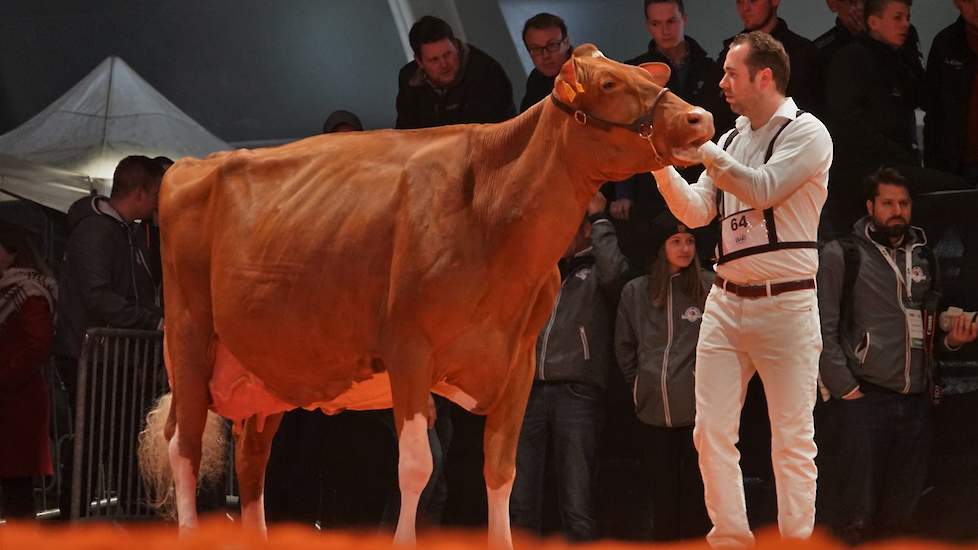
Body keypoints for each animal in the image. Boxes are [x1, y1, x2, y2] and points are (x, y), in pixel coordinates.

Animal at [141, 45, 708, 548]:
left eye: (643, 76)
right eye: (610, 84)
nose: (699, 118)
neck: (490, 209)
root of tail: (190, 165)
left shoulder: (518, 361)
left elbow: (501, 468)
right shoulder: (409, 351)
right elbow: (416, 467)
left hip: (266, 369)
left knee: (252, 453)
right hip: (189, 337)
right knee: (183, 445)